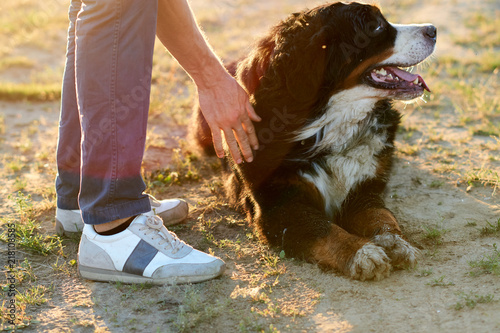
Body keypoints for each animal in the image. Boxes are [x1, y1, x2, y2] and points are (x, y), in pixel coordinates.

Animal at [191, 1, 438, 280]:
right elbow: (323, 228)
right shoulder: (280, 207)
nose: (433, 29)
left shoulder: (363, 189)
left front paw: (395, 243)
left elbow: (380, 215)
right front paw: (361, 253)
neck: (325, 126)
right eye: (375, 26)